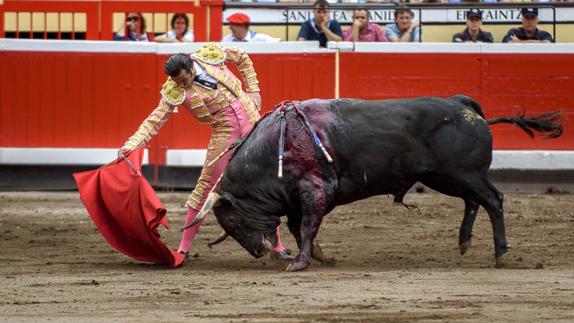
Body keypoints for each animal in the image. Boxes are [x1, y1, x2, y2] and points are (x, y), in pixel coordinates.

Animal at [188, 95, 564, 272]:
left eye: (233, 221)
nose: (258, 251)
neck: (275, 148)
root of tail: (461, 103)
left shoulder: (314, 191)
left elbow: (306, 227)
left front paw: (301, 261)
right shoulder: (299, 197)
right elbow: (299, 228)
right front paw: (320, 256)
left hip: (465, 173)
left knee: (493, 199)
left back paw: (500, 253)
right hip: (444, 176)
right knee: (473, 201)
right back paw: (464, 242)